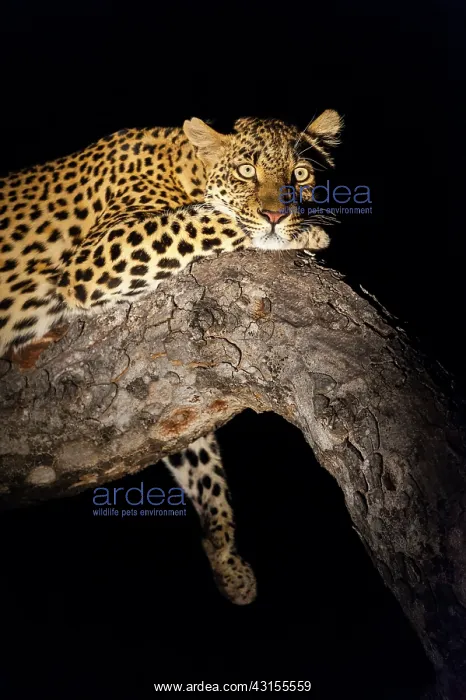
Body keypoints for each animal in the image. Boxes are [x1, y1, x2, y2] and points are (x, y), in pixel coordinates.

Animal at [0, 110, 342, 605]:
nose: (279, 214)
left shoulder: (172, 393)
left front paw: (228, 563)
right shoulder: (99, 254)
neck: (184, 168)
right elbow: (206, 220)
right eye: (246, 171)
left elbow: (202, 464)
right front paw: (306, 230)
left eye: (300, 174)